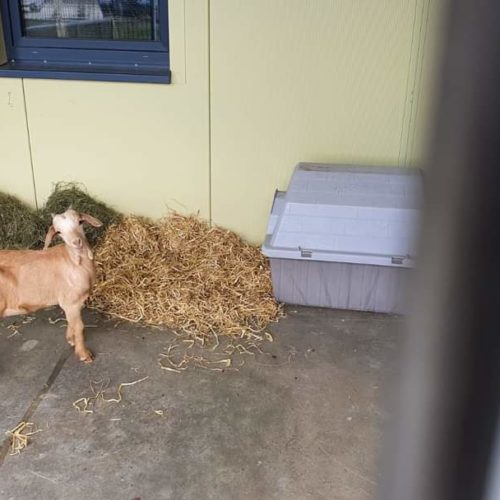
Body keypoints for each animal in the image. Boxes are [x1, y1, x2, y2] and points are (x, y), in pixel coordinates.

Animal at [0, 209, 103, 363]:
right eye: (59, 232)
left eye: (80, 222)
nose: (76, 242)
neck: (74, 261)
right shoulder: (71, 301)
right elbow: (79, 327)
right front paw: (84, 354)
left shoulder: (72, 303)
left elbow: (70, 322)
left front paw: (70, 339)